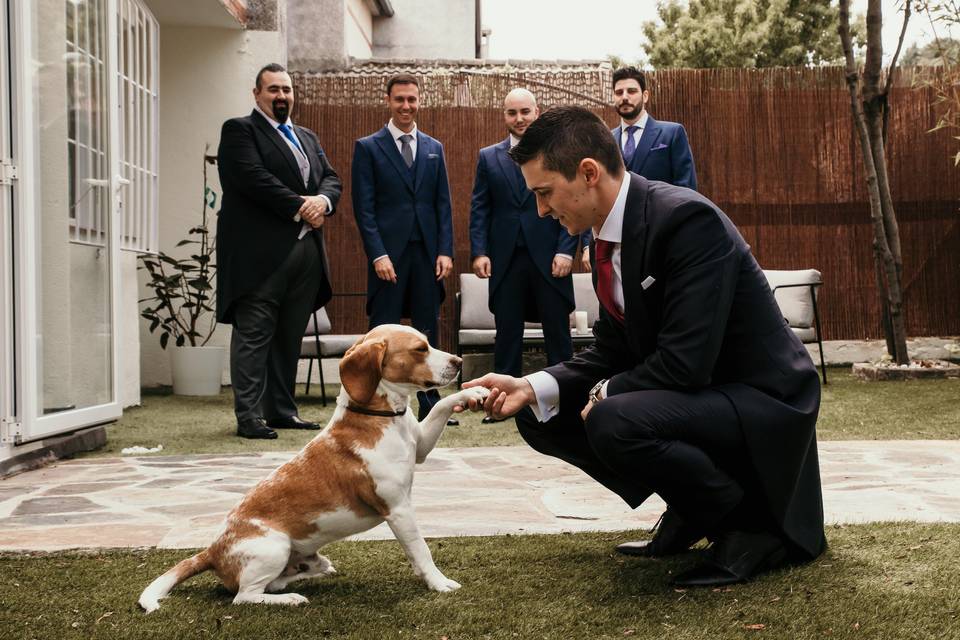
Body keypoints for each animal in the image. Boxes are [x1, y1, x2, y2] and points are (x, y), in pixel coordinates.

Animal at [137, 324, 488, 608]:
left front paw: (475, 390)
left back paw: (310, 571)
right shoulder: (399, 509)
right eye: (420, 349)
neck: (379, 416)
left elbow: (442, 405)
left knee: (274, 582)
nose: (459, 362)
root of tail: (211, 551)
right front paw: (438, 583)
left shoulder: (422, 445)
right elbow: (421, 550)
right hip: (274, 548)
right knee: (245, 597)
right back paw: (290, 598)